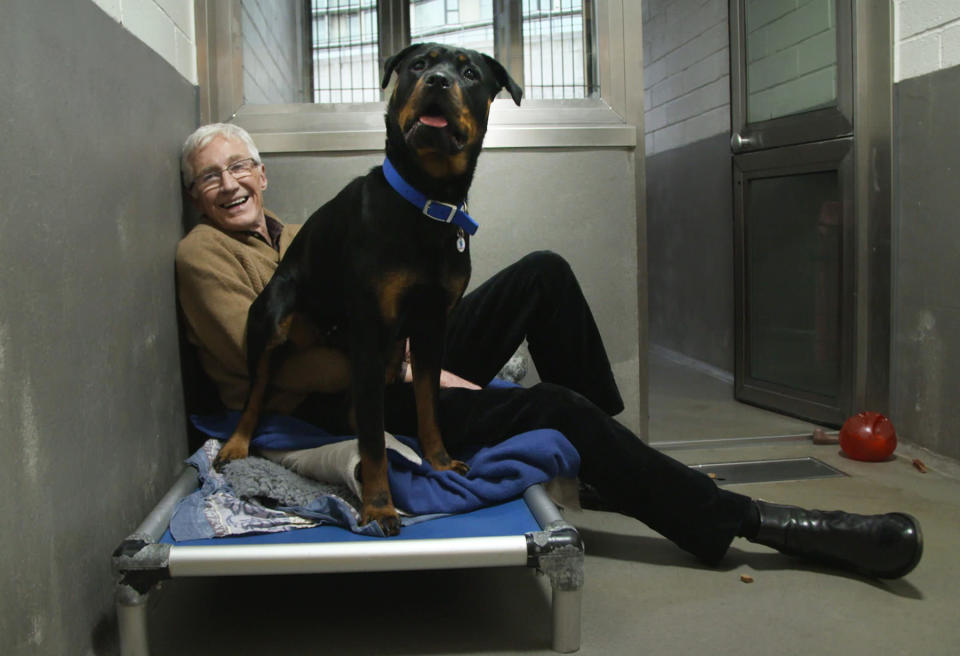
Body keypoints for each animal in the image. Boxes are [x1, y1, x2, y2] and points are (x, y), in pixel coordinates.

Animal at [213, 43, 520, 536]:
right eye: (418, 65)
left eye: (470, 73)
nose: (437, 80)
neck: (427, 200)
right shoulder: (372, 332)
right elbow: (374, 443)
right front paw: (378, 506)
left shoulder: (431, 329)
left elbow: (428, 406)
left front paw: (439, 461)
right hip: (273, 319)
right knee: (256, 394)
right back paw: (237, 443)